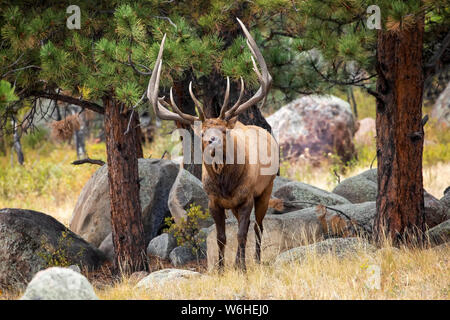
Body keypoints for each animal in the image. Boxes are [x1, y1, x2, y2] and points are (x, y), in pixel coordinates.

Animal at [148, 18, 278, 272]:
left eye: (224, 130)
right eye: (202, 132)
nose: (212, 140)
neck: (225, 185)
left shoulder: (247, 196)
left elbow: (241, 234)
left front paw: (241, 267)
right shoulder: (213, 202)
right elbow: (221, 237)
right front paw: (219, 268)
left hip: (266, 188)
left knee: (258, 227)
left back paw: (256, 260)